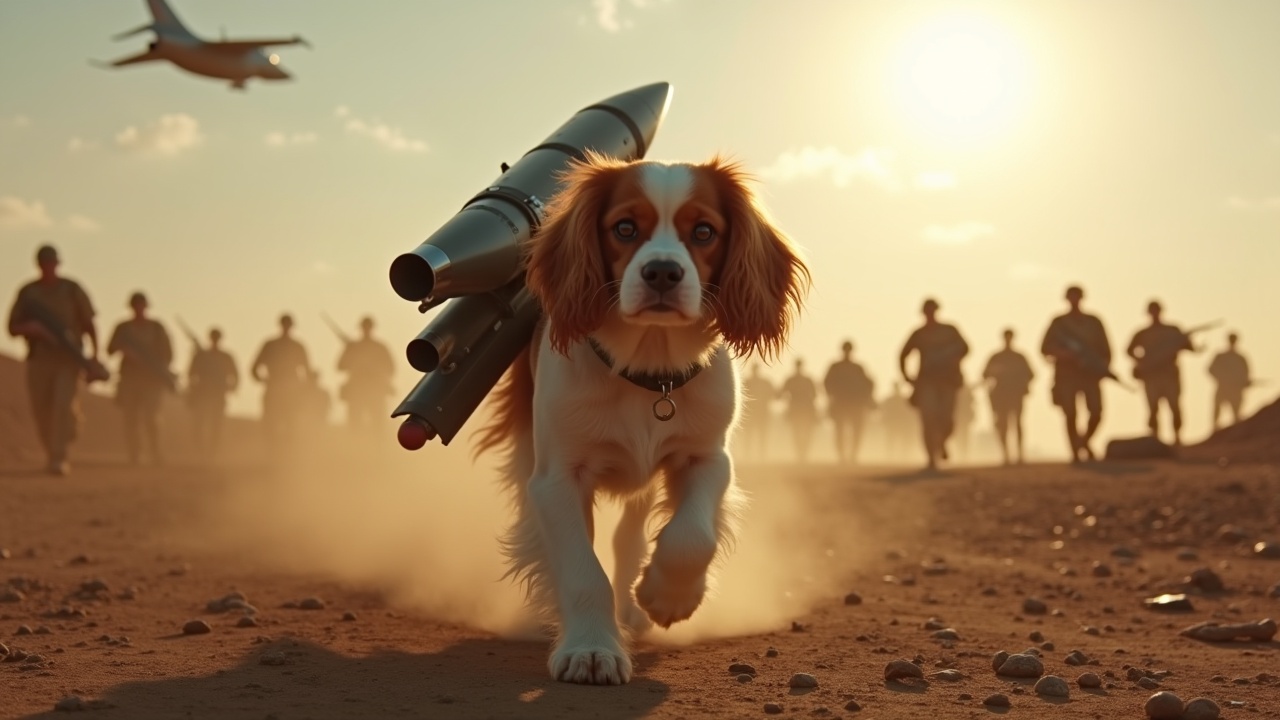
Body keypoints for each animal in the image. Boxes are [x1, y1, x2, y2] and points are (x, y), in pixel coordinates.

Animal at [471, 152, 808, 681]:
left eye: (704, 231)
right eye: (625, 228)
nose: (663, 272)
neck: (649, 371)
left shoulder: (708, 458)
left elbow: (692, 536)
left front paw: (666, 597)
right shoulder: (556, 478)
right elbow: (581, 570)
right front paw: (591, 648)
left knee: (629, 537)